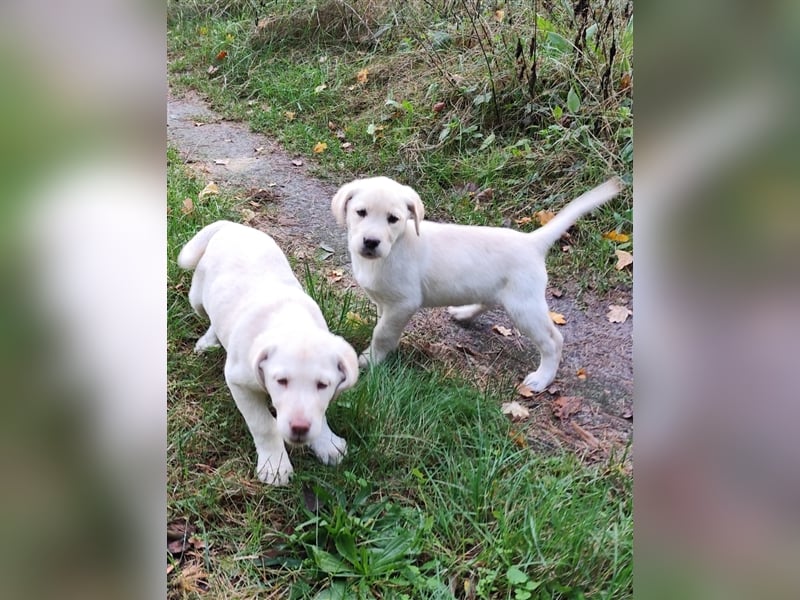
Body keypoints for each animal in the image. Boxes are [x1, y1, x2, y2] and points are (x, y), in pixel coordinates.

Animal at [181, 219, 360, 482]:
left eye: (322, 385)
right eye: (281, 381)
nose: (299, 428)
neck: (291, 319)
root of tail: (232, 225)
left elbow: (320, 412)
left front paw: (326, 443)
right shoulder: (239, 384)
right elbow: (264, 425)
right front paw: (275, 466)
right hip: (197, 299)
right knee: (209, 315)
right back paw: (207, 341)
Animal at [332, 177, 624, 394]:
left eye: (393, 219)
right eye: (361, 213)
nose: (371, 242)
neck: (395, 247)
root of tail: (532, 241)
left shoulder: (403, 303)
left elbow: (382, 333)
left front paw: (370, 359)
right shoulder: (386, 303)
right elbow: (383, 326)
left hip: (525, 307)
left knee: (554, 340)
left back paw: (542, 379)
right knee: (488, 301)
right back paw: (464, 313)